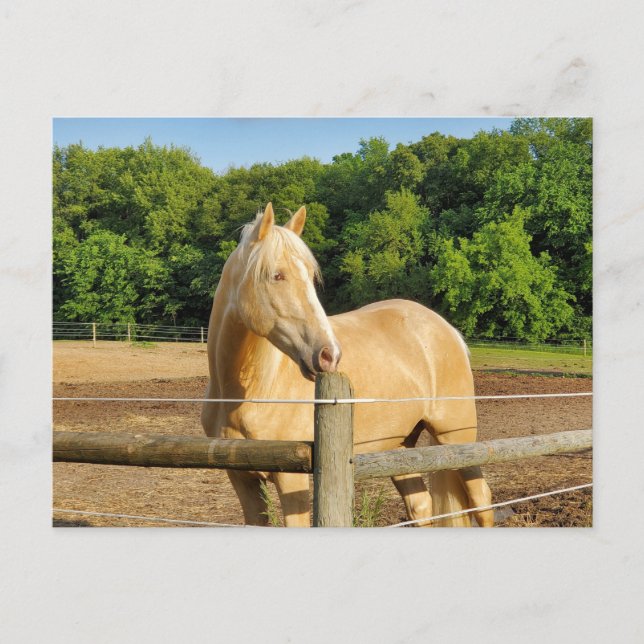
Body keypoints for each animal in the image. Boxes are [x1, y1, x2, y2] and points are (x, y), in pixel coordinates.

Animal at [201, 203, 493, 527]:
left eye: (310, 276)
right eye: (277, 275)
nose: (328, 355)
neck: (251, 391)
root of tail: (447, 329)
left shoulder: (292, 480)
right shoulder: (242, 479)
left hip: (457, 437)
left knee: (482, 501)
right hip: (398, 445)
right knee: (421, 506)